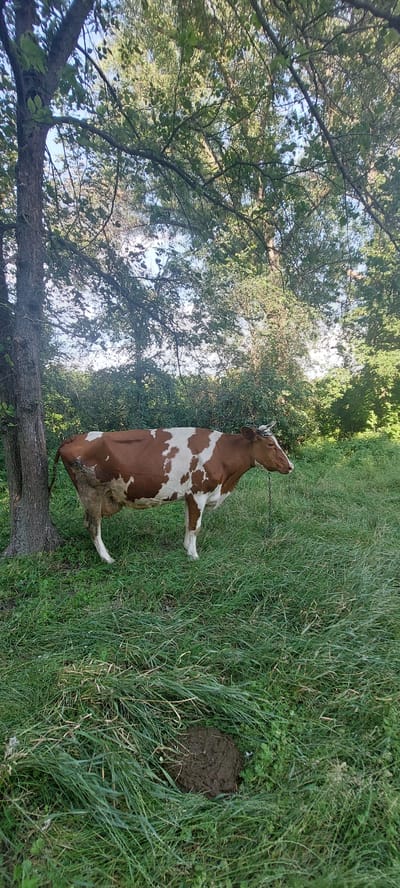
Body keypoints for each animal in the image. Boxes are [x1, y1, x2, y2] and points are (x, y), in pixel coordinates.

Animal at [50, 425, 293, 564]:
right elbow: (196, 526)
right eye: (270, 444)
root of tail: (72, 438)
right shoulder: (199, 492)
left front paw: (186, 547)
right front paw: (193, 555)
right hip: (90, 492)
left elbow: (188, 523)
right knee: (93, 526)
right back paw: (107, 558)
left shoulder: (190, 495)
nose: (290, 466)